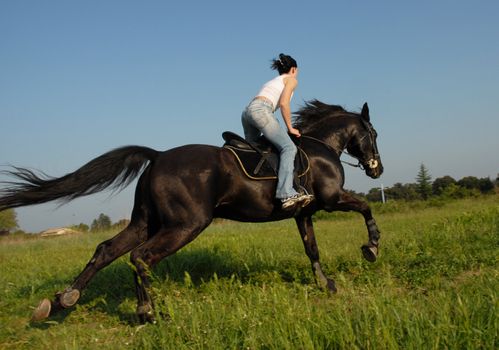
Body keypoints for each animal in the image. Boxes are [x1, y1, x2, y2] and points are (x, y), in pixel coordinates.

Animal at [0, 99, 384, 322]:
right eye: (374, 133)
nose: (377, 169)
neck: (320, 147)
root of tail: (157, 157)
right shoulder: (332, 199)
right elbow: (365, 208)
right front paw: (371, 247)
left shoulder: (304, 212)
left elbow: (311, 248)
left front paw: (326, 284)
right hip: (186, 224)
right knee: (141, 258)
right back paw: (148, 312)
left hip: (145, 222)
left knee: (107, 250)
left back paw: (63, 300)